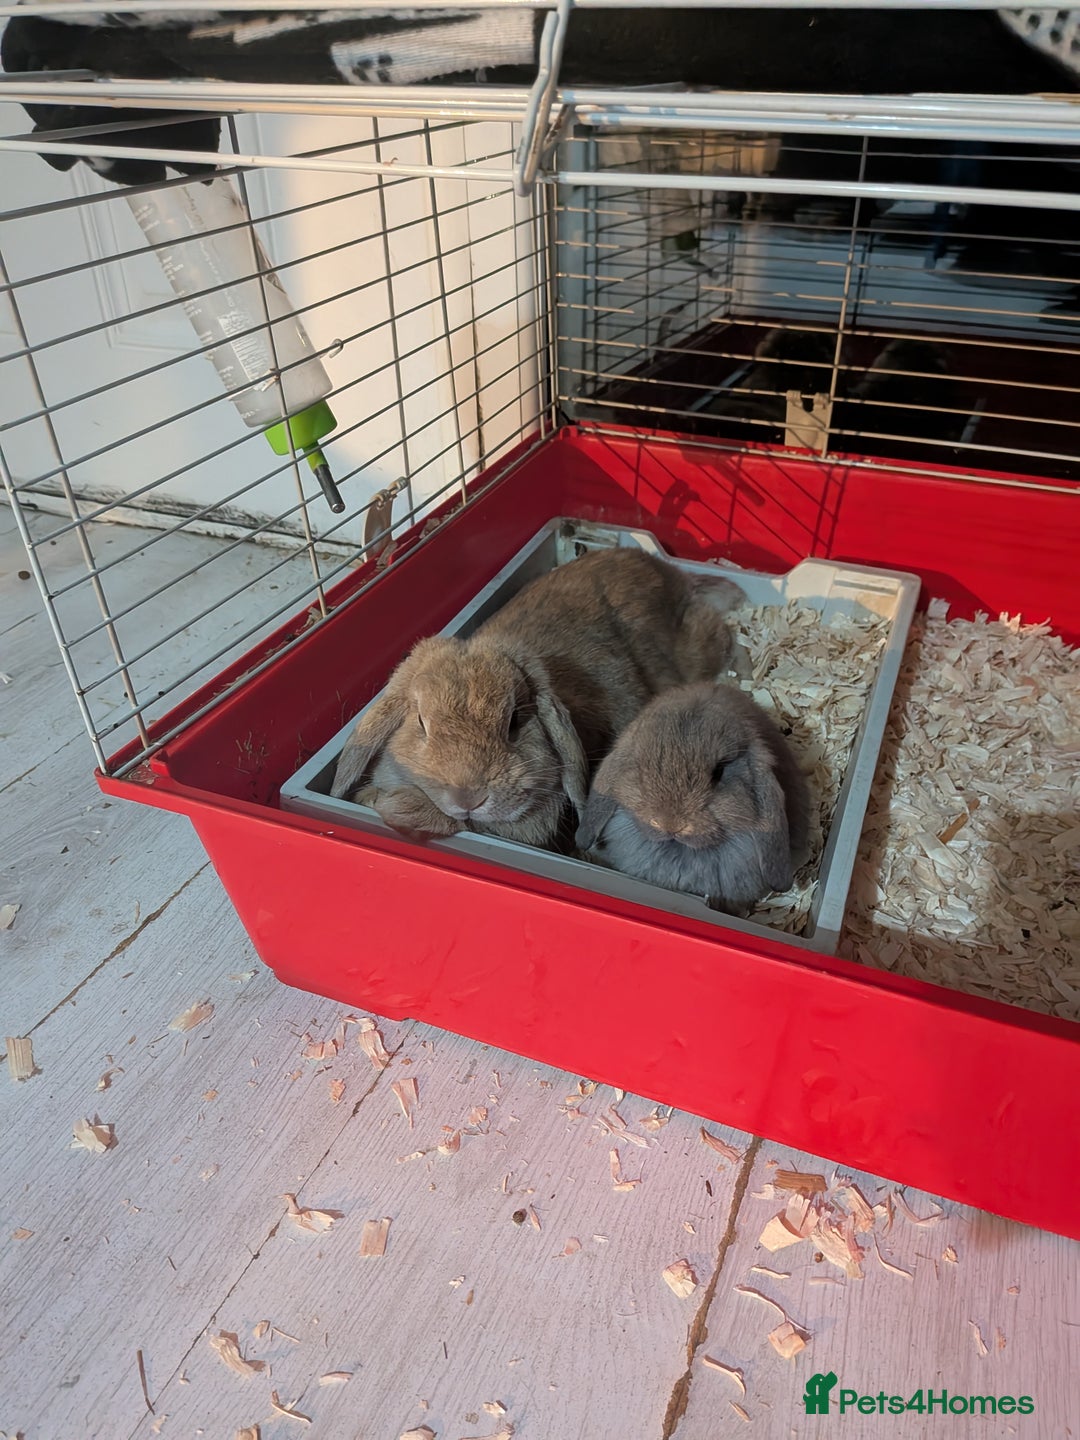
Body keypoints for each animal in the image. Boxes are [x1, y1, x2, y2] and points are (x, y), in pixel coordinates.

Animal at [330, 547, 745, 848]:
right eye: (421, 723)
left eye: (514, 722)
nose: (468, 796)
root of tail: (665, 572)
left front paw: (398, 807)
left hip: (696, 648)